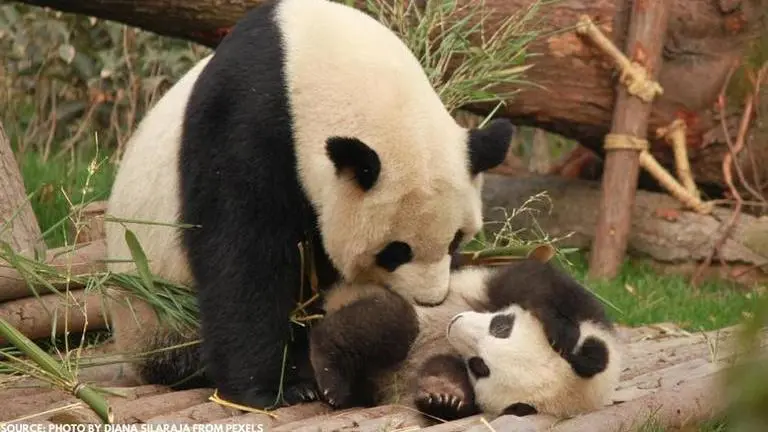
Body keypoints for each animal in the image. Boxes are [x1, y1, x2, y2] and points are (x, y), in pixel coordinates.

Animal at [103, 0, 515, 410]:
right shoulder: (244, 123)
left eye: (455, 240)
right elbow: (243, 257)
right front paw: (269, 389)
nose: (429, 300)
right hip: (156, 311)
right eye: (395, 251)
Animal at [308, 258, 621, 421]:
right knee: (391, 324)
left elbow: (444, 370)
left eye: (479, 366)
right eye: (501, 326)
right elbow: (533, 280)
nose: (454, 324)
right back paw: (330, 377)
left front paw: (444, 397)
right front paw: (559, 329)